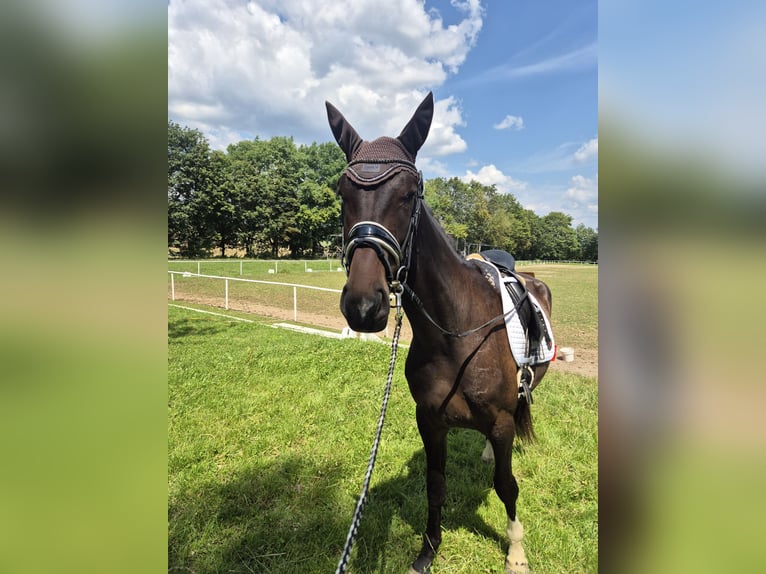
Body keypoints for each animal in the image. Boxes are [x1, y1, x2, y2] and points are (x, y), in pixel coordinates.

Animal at [328, 92, 556, 572]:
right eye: (343, 194)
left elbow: (507, 485)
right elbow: (435, 485)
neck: (456, 335)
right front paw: (427, 551)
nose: (363, 306)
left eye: (408, 195)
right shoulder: (429, 421)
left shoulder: (502, 422)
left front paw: (516, 552)